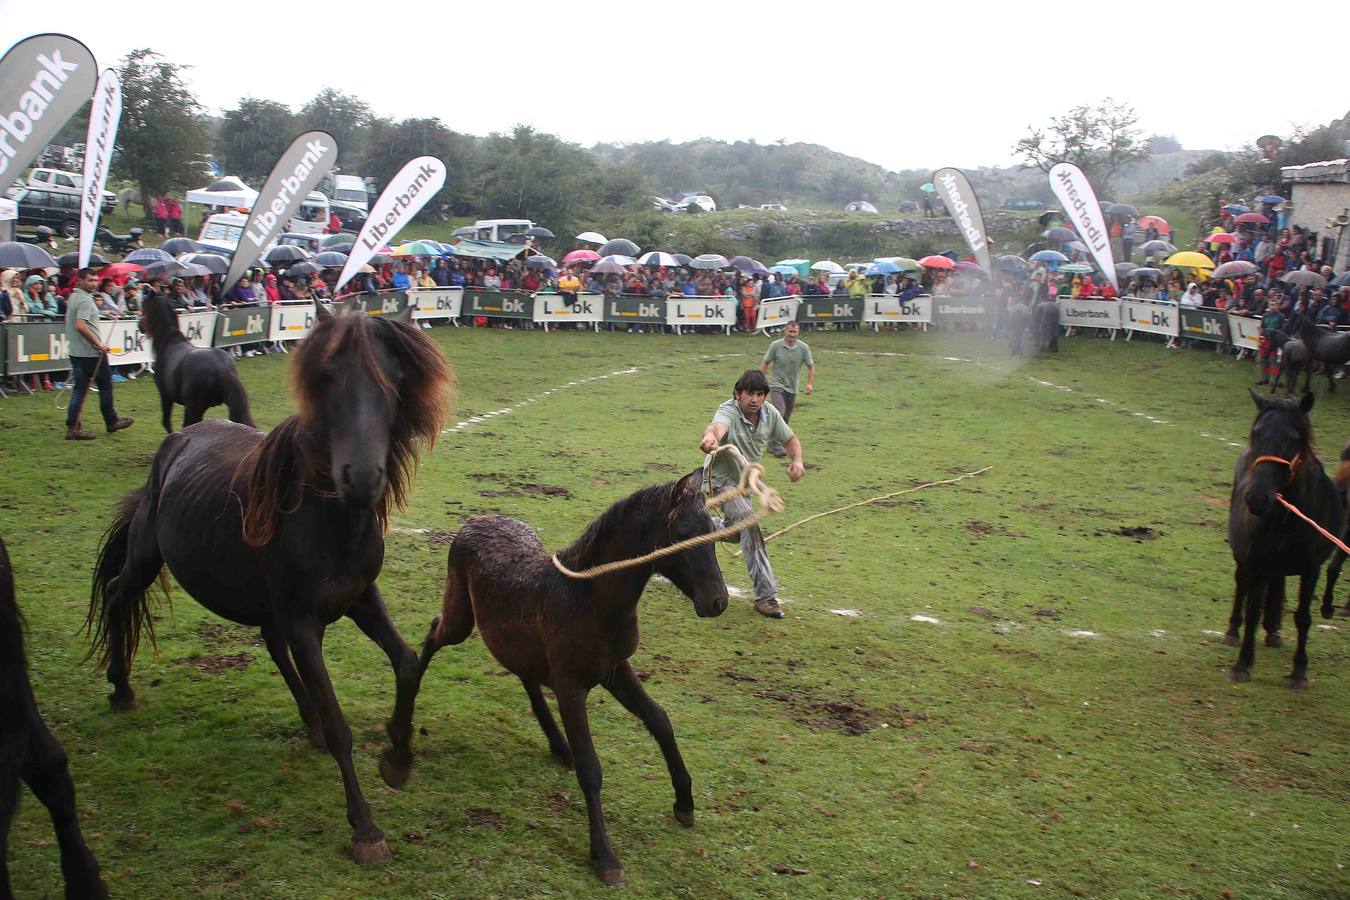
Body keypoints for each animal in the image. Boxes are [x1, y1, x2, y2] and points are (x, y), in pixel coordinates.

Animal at [84, 306, 453, 863]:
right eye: (326, 376)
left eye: (396, 380)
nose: (361, 479)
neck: (329, 521)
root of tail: (179, 441)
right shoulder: (303, 621)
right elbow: (341, 726)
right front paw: (365, 829)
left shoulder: (361, 598)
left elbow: (408, 663)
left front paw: (397, 757)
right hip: (149, 555)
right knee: (117, 593)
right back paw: (121, 688)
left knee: (271, 645)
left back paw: (308, 721)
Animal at [141, 292, 255, 431]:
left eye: (144, 307)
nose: (140, 326)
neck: (169, 343)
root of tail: (221, 367)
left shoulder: (165, 395)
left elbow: (166, 422)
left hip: (194, 407)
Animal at [413, 472, 729, 885]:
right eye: (683, 534)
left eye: (713, 530)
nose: (718, 602)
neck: (591, 599)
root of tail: (477, 520)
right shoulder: (570, 687)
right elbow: (590, 767)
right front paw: (605, 857)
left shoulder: (616, 670)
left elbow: (660, 720)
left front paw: (685, 803)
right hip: (460, 619)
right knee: (435, 634)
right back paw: (402, 713)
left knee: (524, 674)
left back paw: (558, 745)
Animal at [1225, 388, 1339, 690]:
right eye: (1256, 432)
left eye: (1294, 437)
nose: (1256, 498)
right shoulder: (1255, 562)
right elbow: (1252, 610)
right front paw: (1242, 664)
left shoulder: (1311, 569)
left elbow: (1303, 618)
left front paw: (1299, 672)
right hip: (1243, 558)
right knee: (1242, 586)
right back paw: (1232, 631)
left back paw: (1273, 633)